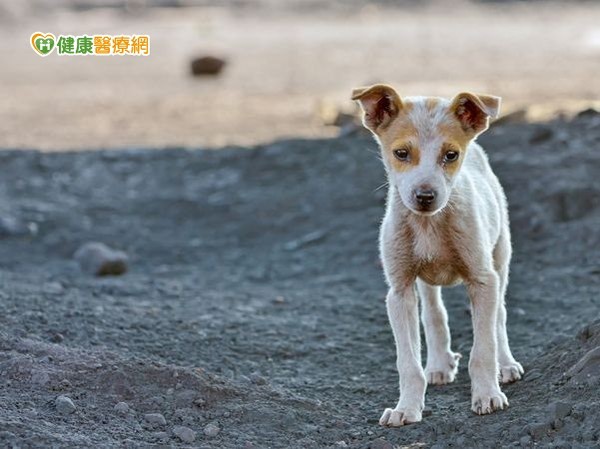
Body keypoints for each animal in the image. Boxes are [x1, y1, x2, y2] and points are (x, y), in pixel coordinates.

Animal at [354, 86, 524, 426]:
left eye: (451, 155)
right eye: (401, 153)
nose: (425, 196)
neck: (429, 224)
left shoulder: (483, 280)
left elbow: (482, 349)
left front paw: (488, 395)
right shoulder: (399, 291)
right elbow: (408, 362)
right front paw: (406, 408)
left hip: (501, 257)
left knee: (499, 316)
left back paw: (506, 364)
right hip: (425, 281)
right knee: (433, 313)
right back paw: (438, 364)